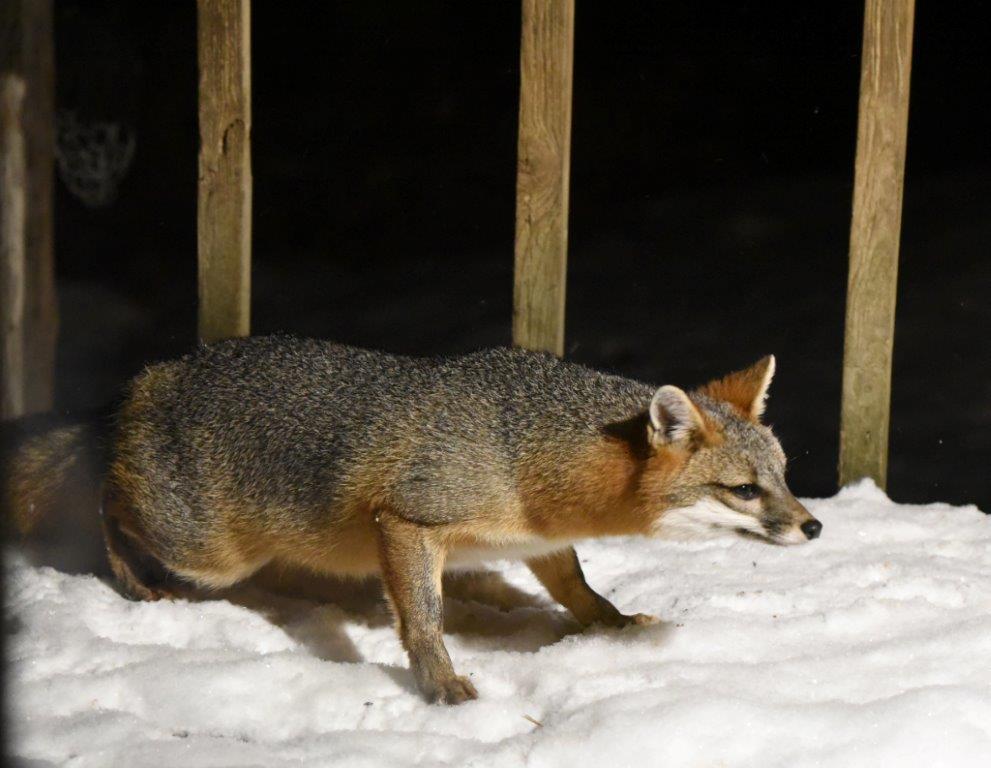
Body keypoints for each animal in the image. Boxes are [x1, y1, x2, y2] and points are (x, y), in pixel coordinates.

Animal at [2, 335, 821, 704]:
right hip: (204, 552)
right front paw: (440, 680)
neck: (526, 448)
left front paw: (612, 625)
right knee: (105, 498)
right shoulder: (405, 519)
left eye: (784, 476)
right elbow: (422, 615)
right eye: (745, 491)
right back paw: (131, 580)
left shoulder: (539, 540)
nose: (813, 528)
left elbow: (577, 589)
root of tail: (139, 382)